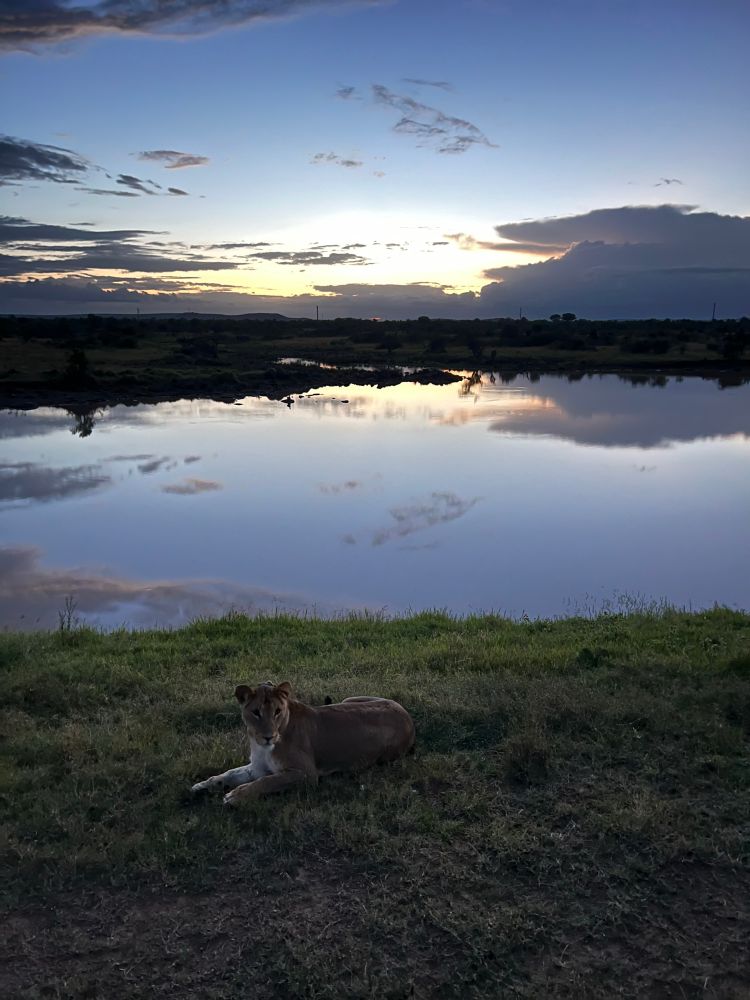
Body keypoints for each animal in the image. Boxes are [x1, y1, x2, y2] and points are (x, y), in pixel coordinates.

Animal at [191, 681, 415, 807]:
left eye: (277, 711)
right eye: (256, 712)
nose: (268, 736)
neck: (261, 745)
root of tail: (406, 714)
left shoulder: (307, 774)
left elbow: (267, 781)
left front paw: (235, 796)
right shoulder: (257, 767)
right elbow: (229, 774)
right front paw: (203, 785)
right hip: (348, 699)